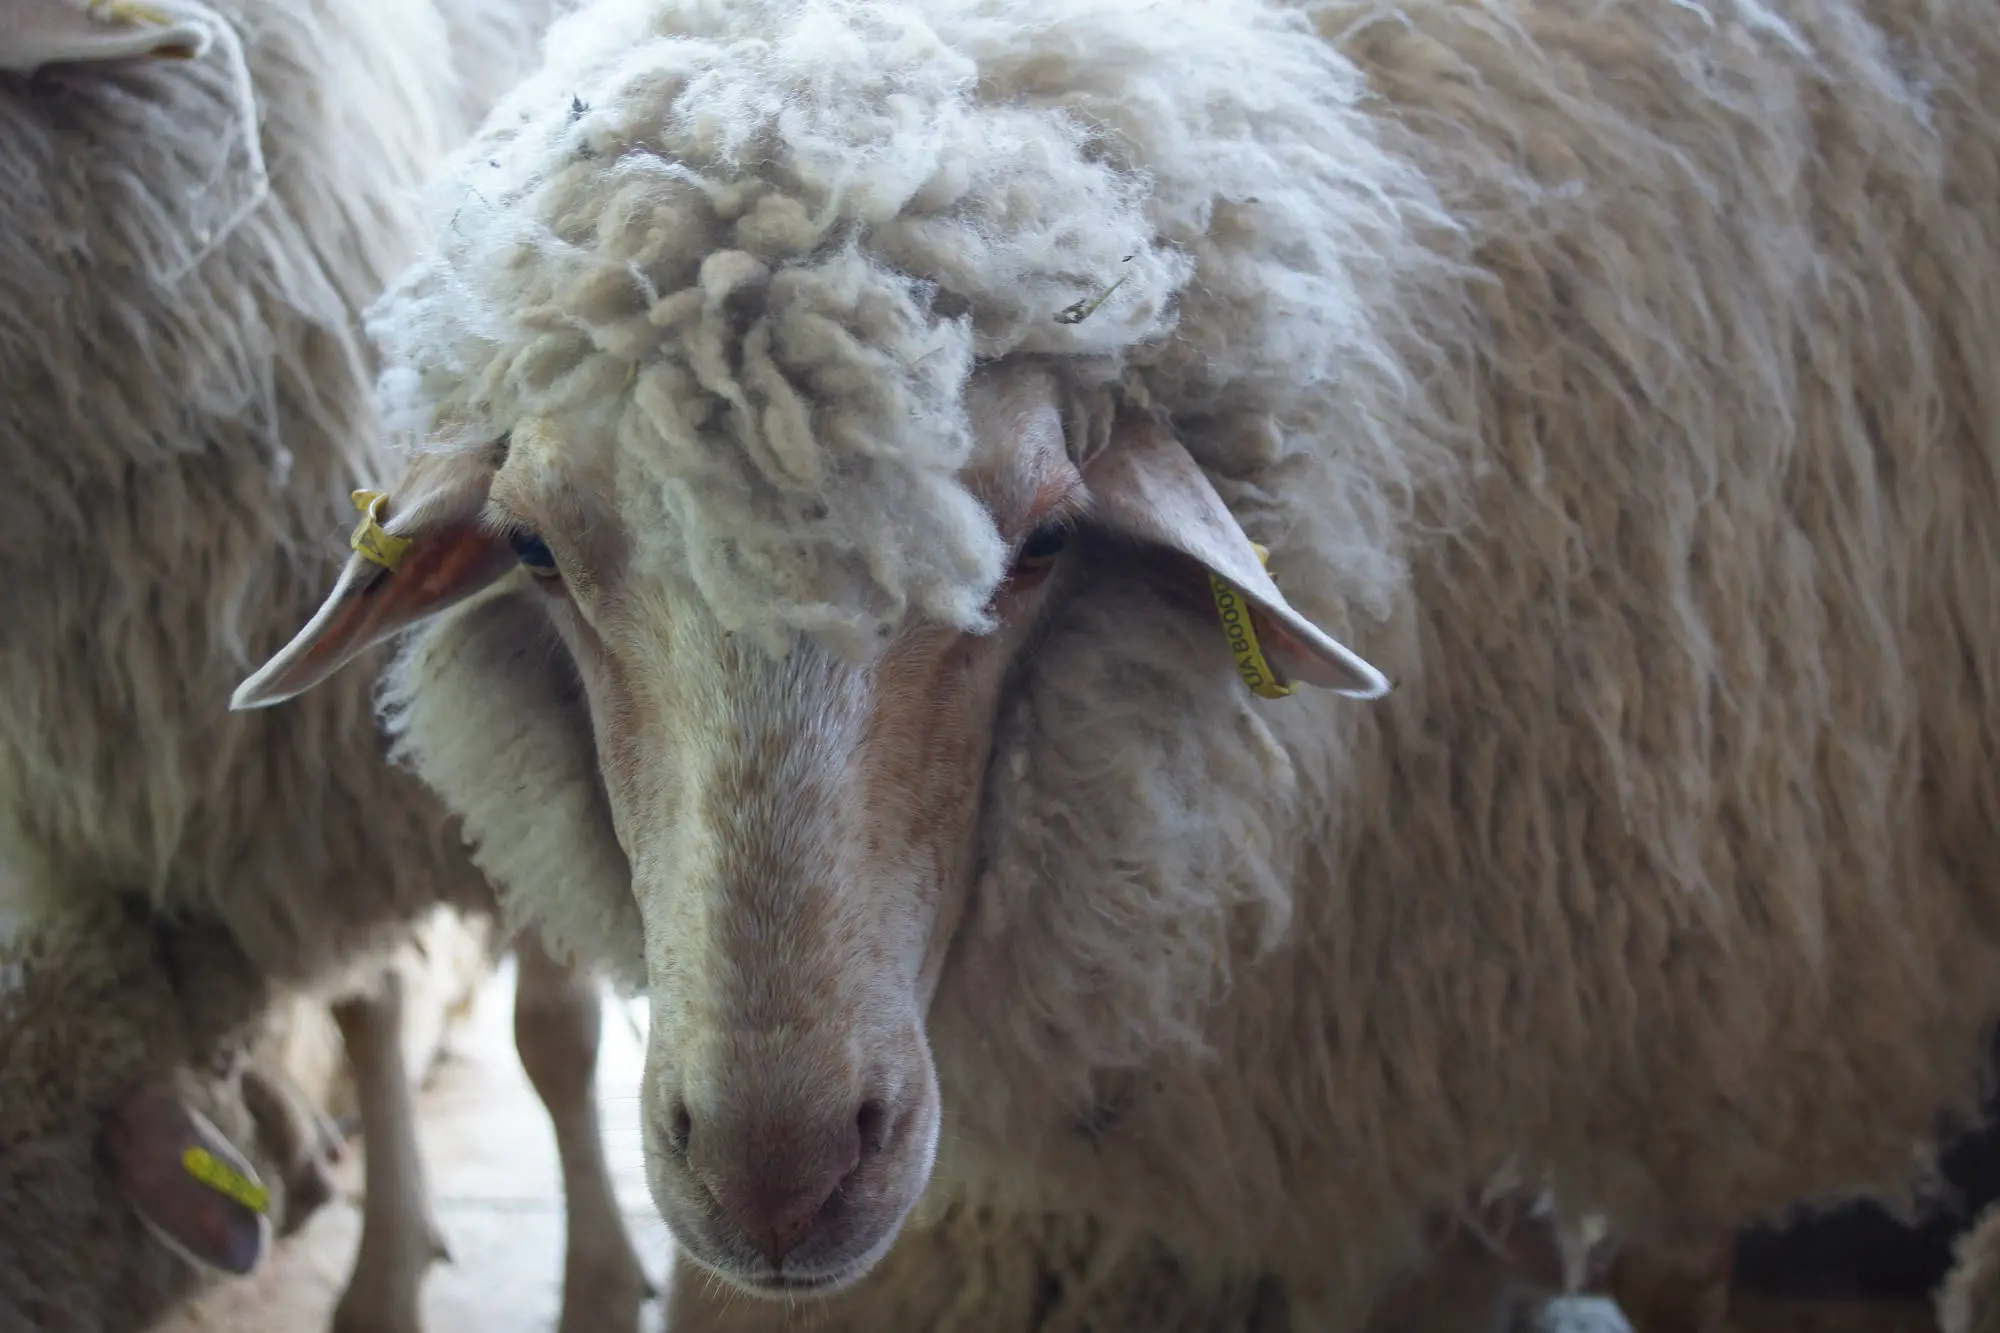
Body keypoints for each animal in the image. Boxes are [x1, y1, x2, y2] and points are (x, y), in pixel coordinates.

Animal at [0, 1, 654, 1330]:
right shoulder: (291, 802)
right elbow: (367, 1015)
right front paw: (384, 1268)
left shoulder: (524, 742)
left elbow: (554, 1040)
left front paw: (602, 1283)